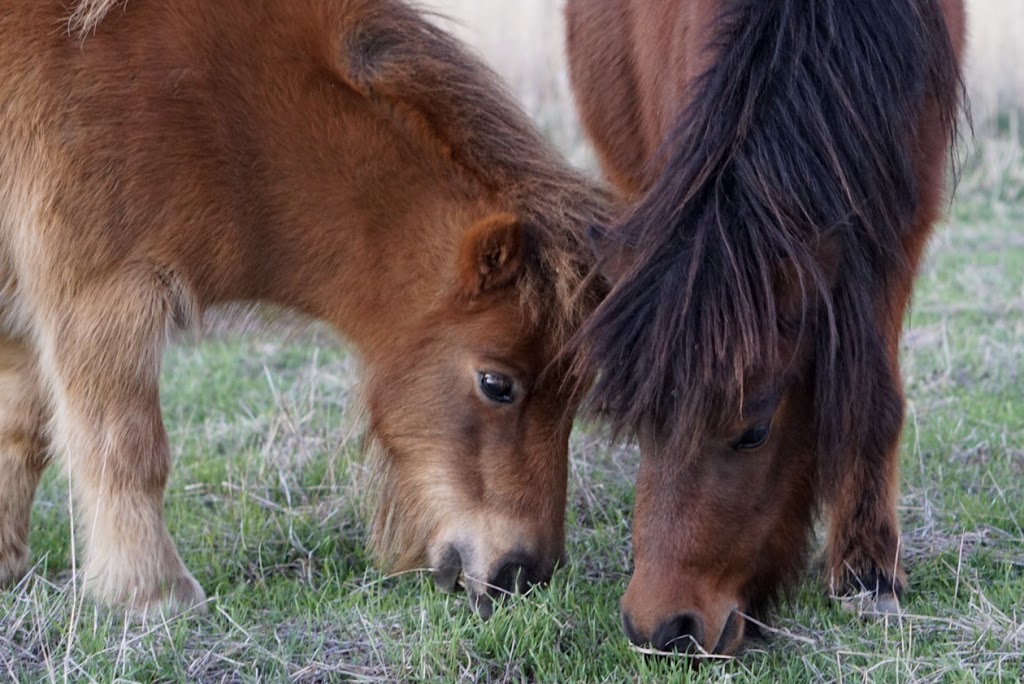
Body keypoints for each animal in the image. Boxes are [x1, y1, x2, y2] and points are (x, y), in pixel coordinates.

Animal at [0, 0, 606, 618]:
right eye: (497, 385)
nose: (525, 573)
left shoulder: (25, 312)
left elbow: (20, 434)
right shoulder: (103, 294)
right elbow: (127, 448)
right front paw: (155, 593)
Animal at [569, 0, 966, 655]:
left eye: (753, 431)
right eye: (645, 423)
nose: (661, 630)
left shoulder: (898, 230)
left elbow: (874, 398)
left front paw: (868, 571)